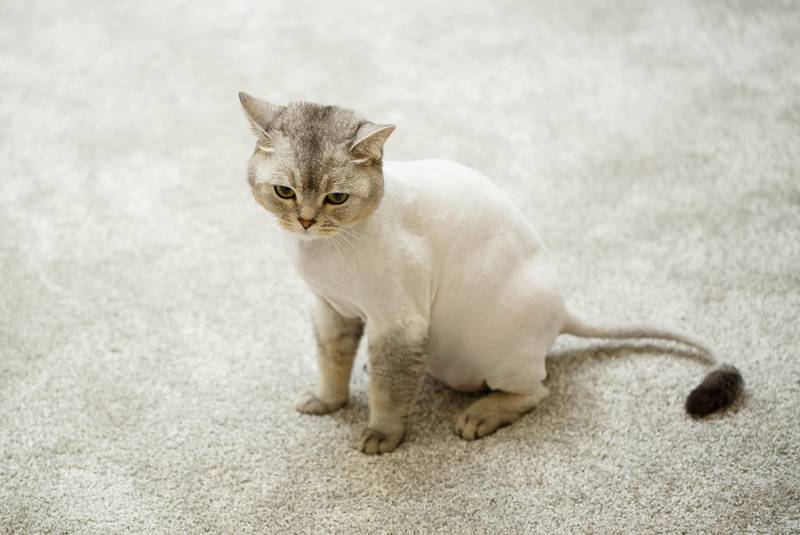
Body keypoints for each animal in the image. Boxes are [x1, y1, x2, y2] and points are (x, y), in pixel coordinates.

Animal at [238, 93, 744, 456]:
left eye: (336, 198)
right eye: (285, 192)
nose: (305, 221)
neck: (320, 251)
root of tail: (563, 310)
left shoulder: (398, 324)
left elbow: (387, 395)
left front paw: (382, 435)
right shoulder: (331, 309)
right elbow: (332, 363)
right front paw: (328, 403)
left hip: (493, 358)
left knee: (536, 390)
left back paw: (479, 416)